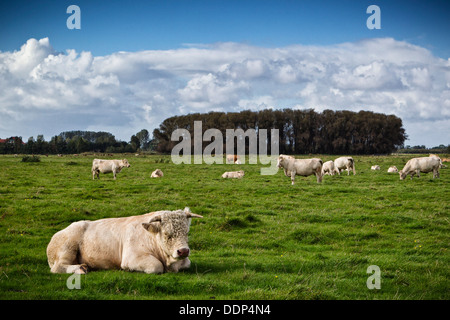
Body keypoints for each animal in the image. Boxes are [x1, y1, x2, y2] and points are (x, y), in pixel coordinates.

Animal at [47, 208, 202, 276]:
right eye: (166, 234)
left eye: (187, 232)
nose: (183, 251)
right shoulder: (132, 257)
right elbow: (155, 266)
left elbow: (187, 263)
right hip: (67, 247)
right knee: (58, 267)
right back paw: (80, 269)